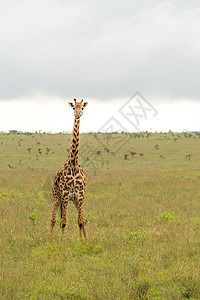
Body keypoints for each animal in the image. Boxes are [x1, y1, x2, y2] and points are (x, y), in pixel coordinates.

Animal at [49, 98, 88, 241]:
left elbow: (81, 221)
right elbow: (63, 222)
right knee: (53, 220)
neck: (73, 164)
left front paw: (83, 242)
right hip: (56, 197)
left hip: (75, 201)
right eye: (73, 107)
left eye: (82, 107)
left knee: (82, 220)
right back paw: (49, 241)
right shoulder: (65, 195)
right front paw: (61, 243)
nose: (77, 114)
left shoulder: (80, 196)